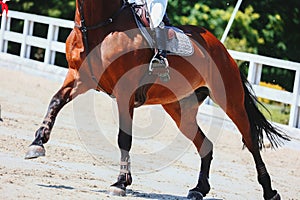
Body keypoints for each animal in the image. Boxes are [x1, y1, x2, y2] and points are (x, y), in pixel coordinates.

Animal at [25, 0, 288, 199]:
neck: (100, 26)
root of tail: (221, 47)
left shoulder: (125, 92)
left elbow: (124, 138)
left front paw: (120, 182)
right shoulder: (79, 78)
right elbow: (55, 102)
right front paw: (36, 144)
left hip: (231, 101)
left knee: (251, 141)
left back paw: (270, 191)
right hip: (179, 109)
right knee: (205, 144)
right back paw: (198, 190)